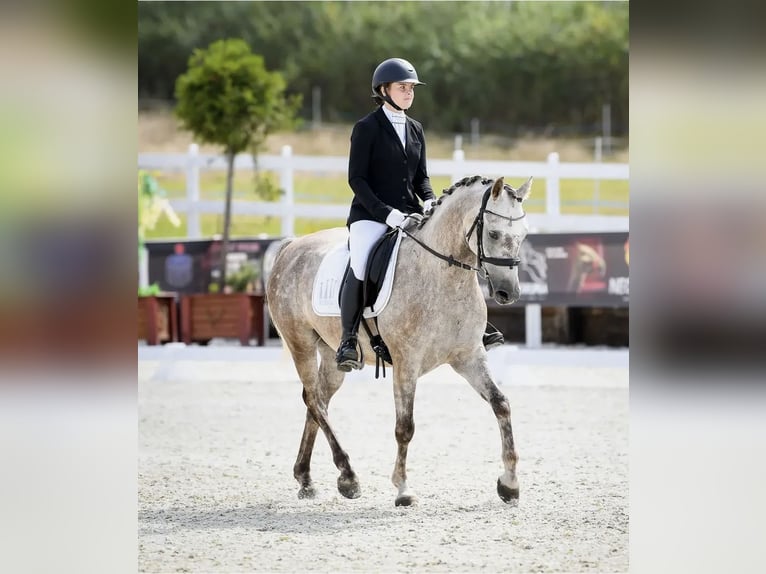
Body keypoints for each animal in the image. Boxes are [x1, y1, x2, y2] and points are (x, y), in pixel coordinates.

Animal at [265, 174, 532, 506]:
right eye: (494, 233)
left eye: (523, 234)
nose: (509, 293)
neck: (442, 277)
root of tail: (291, 246)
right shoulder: (407, 362)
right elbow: (405, 427)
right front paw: (403, 489)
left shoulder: (469, 356)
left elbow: (501, 404)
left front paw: (509, 484)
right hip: (299, 341)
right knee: (314, 399)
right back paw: (348, 476)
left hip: (331, 353)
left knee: (319, 401)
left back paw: (306, 478)